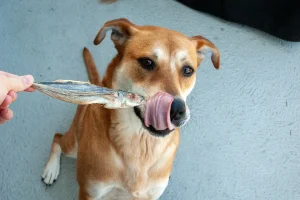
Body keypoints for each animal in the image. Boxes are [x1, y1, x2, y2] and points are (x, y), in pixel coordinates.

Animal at [41, 18, 219, 199]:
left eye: (188, 70)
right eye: (147, 62)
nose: (176, 111)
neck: (141, 143)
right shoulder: (89, 191)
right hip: (73, 145)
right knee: (57, 138)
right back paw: (51, 170)